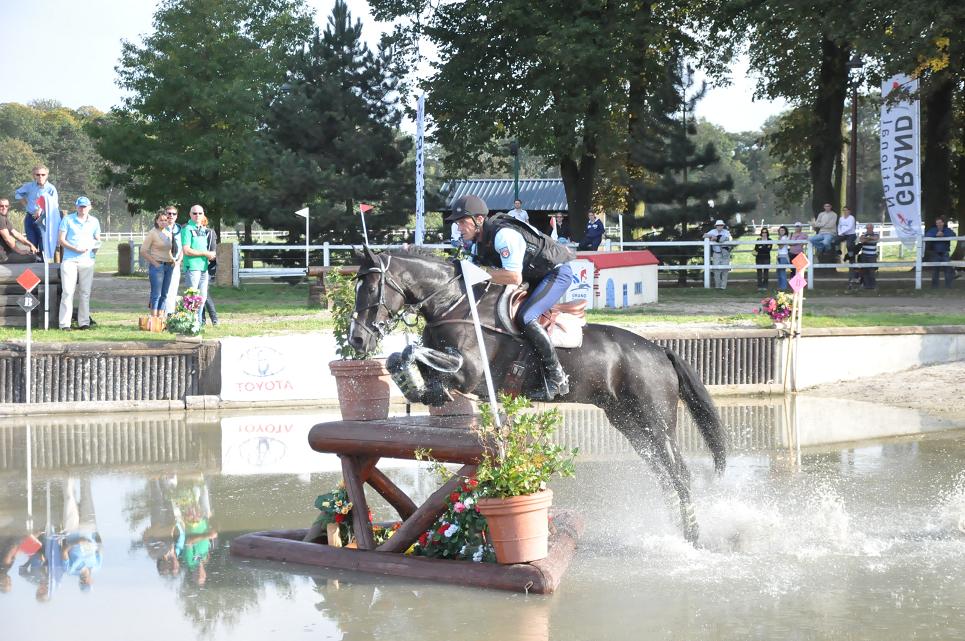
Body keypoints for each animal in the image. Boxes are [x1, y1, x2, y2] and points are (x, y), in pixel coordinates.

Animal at [346, 246, 724, 544]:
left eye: (371, 287)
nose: (357, 340)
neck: (452, 304)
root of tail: (660, 351)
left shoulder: (470, 373)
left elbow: (414, 353)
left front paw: (419, 386)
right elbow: (403, 358)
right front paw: (421, 389)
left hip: (656, 422)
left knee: (680, 472)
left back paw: (692, 537)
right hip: (629, 422)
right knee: (662, 473)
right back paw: (675, 529)